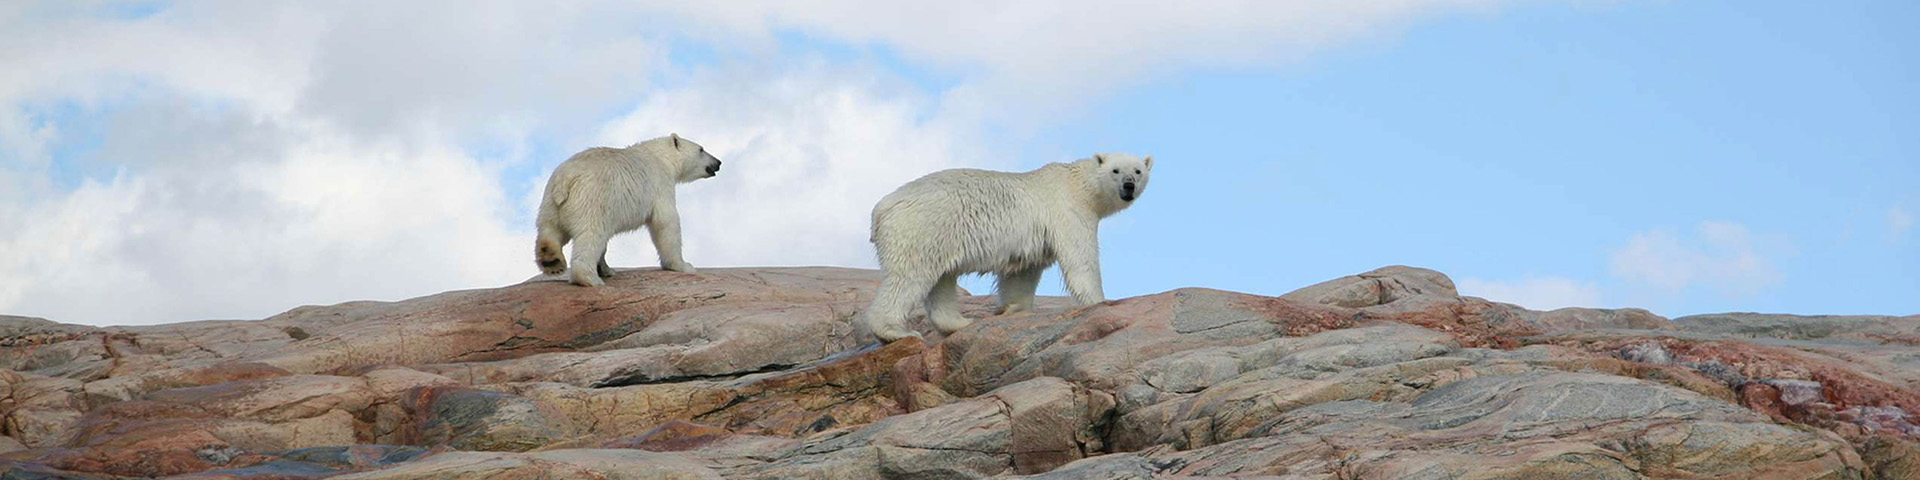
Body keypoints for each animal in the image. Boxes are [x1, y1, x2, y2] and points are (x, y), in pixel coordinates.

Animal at [533, 133, 721, 286]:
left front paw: (607, 269)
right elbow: (666, 222)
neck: (660, 157)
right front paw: (684, 266)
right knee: (591, 236)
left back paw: (552, 261)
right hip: (592, 200)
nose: (718, 162)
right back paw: (590, 279)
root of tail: (566, 180)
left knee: (550, 229)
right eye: (701, 149)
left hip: (550, 202)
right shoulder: (660, 184)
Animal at [867, 152, 1152, 341]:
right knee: (909, 277)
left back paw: (961, 323)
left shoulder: (1033, 241)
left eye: (1138, 171)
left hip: (940, 236)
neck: (1078, 185)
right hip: (922, 228)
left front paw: (1013, 308)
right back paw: (895, 331)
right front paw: (1099, 301)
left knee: (942, 279)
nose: (1129, 185)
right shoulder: (1069, 211)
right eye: (1116, 170)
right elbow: (1081, 259)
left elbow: (1022, 274)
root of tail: (881, 208)